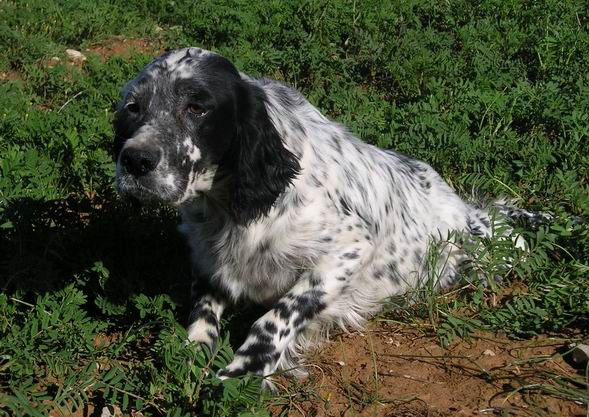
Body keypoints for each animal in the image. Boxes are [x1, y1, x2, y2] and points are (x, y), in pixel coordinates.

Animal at [113, 47, 528, 382]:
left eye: (197, 107)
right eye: (133, 108)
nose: (135, 160)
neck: (232, 208)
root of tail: (464, 208)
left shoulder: (351, 247)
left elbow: (279, 314)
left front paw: (244, 369)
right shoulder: (208, 261)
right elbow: (201, 315)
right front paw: (190, 356)